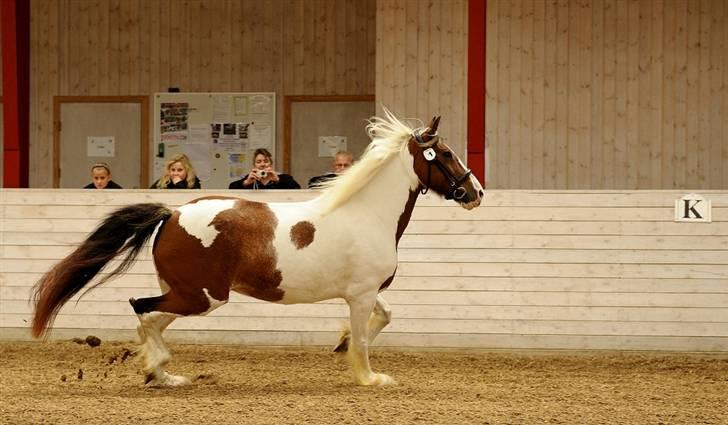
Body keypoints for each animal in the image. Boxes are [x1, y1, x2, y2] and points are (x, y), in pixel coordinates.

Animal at [31, 110, 484, 388]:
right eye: (445, 153)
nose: (475, 192)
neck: (366, 214)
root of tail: (172, 213)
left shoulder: (365, 292)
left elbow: (384, 317)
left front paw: (338, 345)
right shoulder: (361, 294)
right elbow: (363, 339)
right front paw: (370, 377)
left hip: (189, 293)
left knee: (151, 317)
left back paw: (161, 374)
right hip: (204, 296)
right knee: (142, 308)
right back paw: (159, 371)